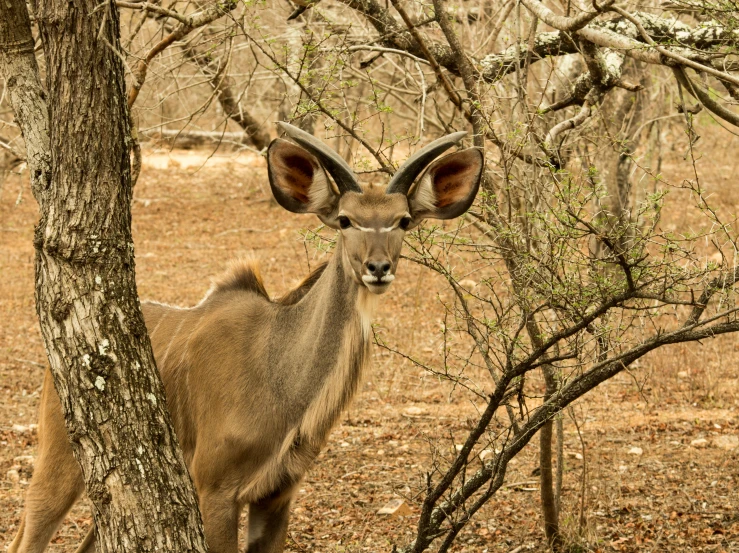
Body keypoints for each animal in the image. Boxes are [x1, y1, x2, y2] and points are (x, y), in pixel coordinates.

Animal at [13, 123, 486, 552]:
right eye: (346, 220)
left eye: (402, 220)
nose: (378, 268)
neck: (276, 372)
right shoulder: (214, 490)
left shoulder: (277, 495)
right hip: (60, 460)